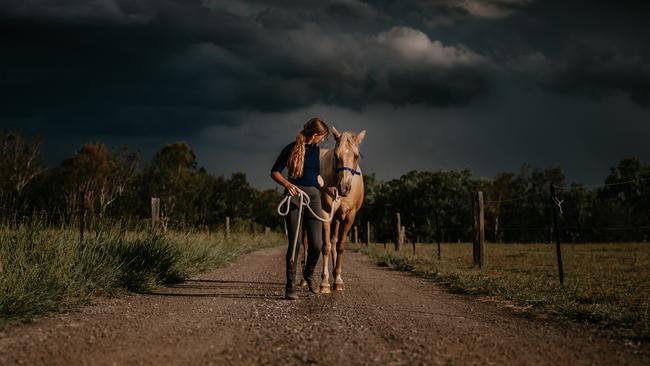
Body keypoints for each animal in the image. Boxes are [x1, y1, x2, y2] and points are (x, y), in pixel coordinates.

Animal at [318, 127, 364, 294]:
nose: (344, 188)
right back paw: (303, 281)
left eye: (356, 156)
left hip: (337, 219)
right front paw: (324, 283)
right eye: (336, 155)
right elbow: (325, 247)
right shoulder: (324, 213)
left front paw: (337, 280)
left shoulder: (349, 216)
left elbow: (340, 246)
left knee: (334, 241)